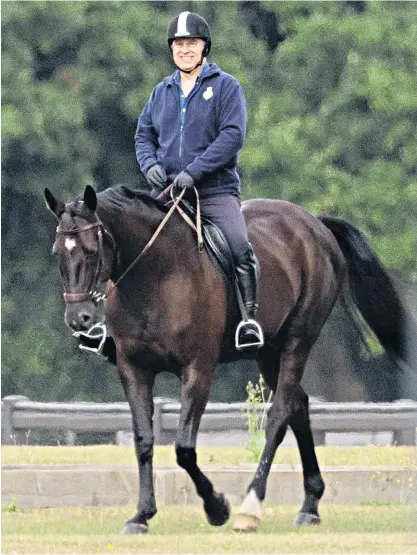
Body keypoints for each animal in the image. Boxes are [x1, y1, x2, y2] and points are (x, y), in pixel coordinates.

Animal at [44, 186, 410, 536]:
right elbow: (144, 441)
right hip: (267, 352)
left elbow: (184, 447)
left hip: (297, 342)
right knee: (299, 406)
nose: (78, 319)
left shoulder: (198, 369)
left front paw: (216, 508)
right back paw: (309, 505)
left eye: (91, 250)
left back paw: (251, 507)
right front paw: (142, 515)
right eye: (57, 252)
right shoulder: (133, 369)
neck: (155, 274)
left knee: (278, 416)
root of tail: (314, 224)